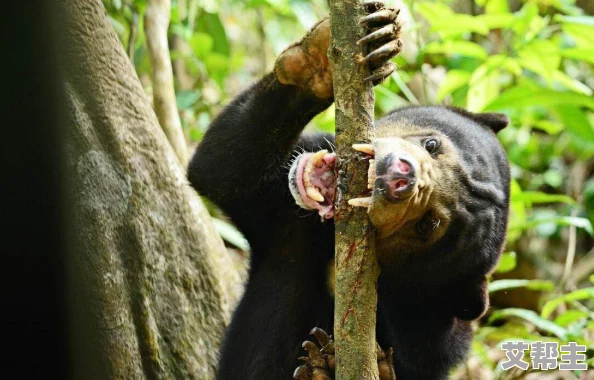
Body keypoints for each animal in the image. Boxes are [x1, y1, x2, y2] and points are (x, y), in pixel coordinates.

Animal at [188, 1, 508, 378]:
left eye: (428, 225)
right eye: (432, 144)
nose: (398, 175)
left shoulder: (430, 343)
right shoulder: (283, 214)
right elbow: (222, 170)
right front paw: (347, 48)